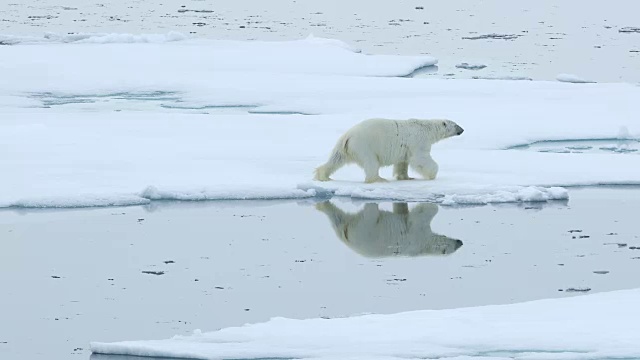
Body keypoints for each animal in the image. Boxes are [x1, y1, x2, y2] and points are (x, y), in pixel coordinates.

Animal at [312, 118, 462, 183]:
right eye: (456, 125)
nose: (462, 129)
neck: (427, 128)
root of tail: (347, 136)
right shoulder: (419, 141)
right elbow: (420, 159)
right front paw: (432, 174)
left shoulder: (405, 148)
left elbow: (403, 162)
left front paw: (406, 177)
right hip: (364, 145)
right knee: (371, 162)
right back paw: (378, 179)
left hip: (345, 147)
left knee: (336, 159)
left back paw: (323, 175)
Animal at [316, 201, 462, 258]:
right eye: (453, 247)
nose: (460, 242)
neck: (424, 247)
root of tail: (347, 236)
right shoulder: (418, 233)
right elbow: (423, 214)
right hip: (367, 228)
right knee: (370, 214)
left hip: (349, 227)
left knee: (338, 218)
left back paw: (323, 207)